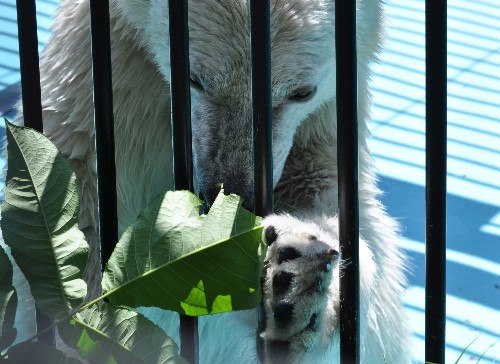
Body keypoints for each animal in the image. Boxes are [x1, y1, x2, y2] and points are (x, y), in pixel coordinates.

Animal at [12, 0, 410, 362]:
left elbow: (340, 207)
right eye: (194, 78)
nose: (235, 198)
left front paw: (294, 280)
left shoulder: (324, 122)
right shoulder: (111, 90)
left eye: (302, 92)